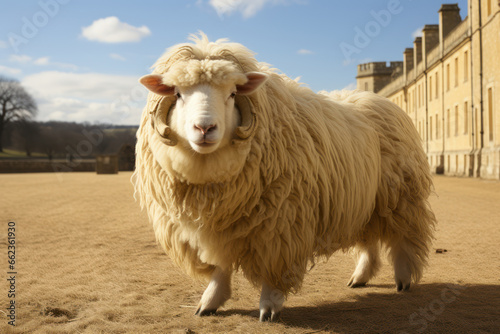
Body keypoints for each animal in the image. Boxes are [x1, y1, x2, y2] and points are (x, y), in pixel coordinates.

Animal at [133, 32, 434, 320]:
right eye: (177, 94)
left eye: (232, 94)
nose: (205, 128)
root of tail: (376, 99)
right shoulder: (213, 225)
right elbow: (219, 268)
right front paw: (210, 302)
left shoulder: (281, 223)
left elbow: (272, 269)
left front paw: (269, 306)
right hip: (362, 200)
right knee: (369, 240)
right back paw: (360, 277)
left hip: (400, 197)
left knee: (404, 239)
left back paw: (403, 278)